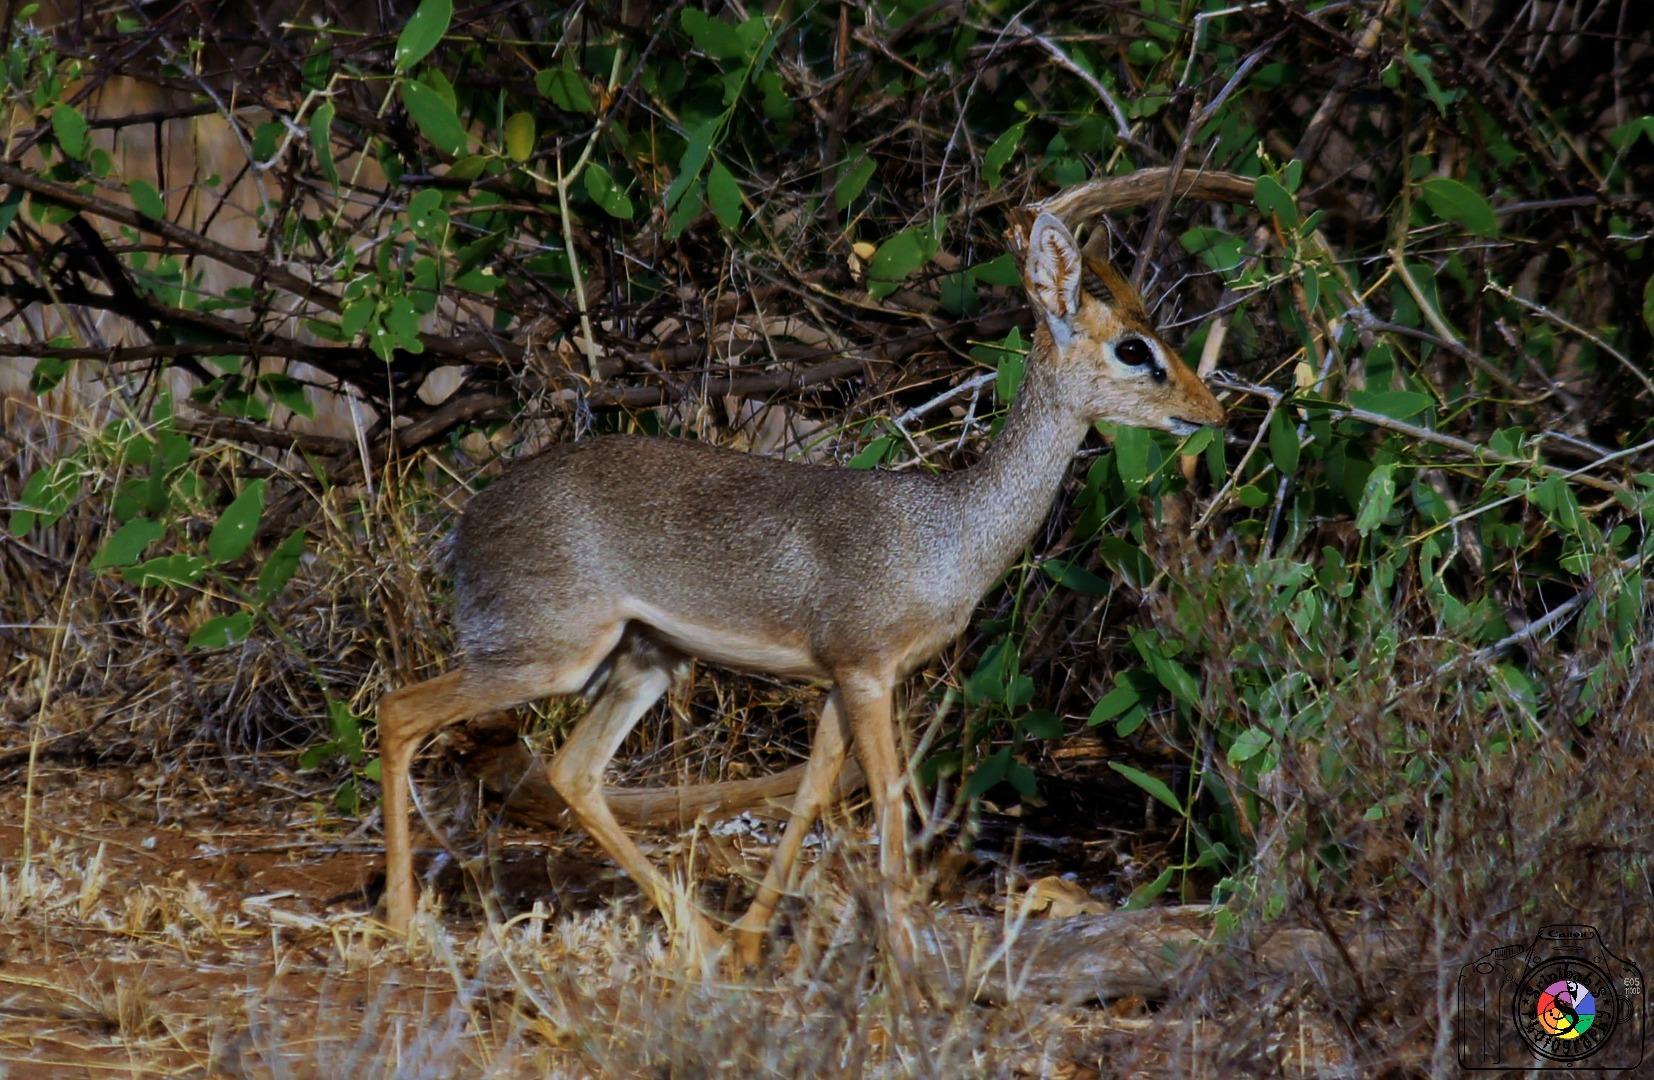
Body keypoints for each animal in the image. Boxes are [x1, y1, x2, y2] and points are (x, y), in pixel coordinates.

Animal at [375, 189, 1230, 959]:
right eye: (1134, 348)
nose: (1211, 410)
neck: (949, 532)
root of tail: (463, 527)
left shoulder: (835, 682)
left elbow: (815, 793)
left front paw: (756, 941)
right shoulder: (867, 670)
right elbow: (889, 799)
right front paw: (905, 960)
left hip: (644, 662)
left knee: (574, 772)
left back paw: (700, 937)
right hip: (547, 656)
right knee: (401, 711)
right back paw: (401, 920)